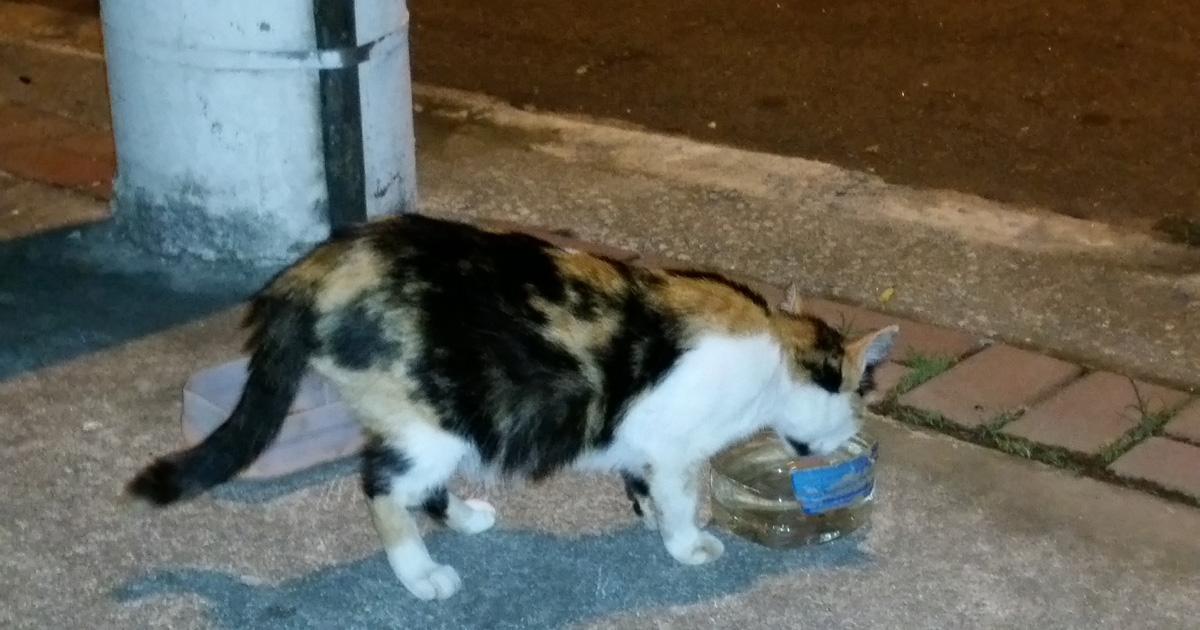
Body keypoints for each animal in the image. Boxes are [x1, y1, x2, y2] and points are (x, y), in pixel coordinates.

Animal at [126, 214, 897, 600]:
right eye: (858, 402)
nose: (852, 433)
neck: (773, 353)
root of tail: (318, 265)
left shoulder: (646, 441)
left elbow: (642, 481)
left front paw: (649, 519)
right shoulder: (678, 445)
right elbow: (680, 496)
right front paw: (687, 544)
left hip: (447, 421)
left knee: (415, 483)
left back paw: (466, 518)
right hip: (432, 421)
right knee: (381, 487)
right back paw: (421, 576)